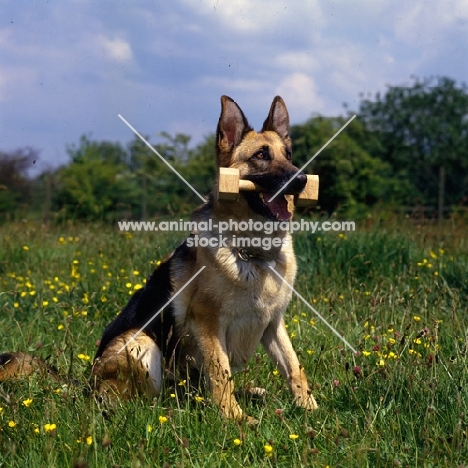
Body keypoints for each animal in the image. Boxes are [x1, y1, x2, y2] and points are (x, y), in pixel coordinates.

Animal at [0, 95, 318, 420]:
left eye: (288, 155)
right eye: (261, 155)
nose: (301, 179)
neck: (254, 253)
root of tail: (87, 384)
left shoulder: (273, 324)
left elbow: (294, 367)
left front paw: (310, 408)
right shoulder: (209, 324)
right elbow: (221, 373)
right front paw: (235, 418)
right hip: (141, 343)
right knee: (148, 400)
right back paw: (172, 409)